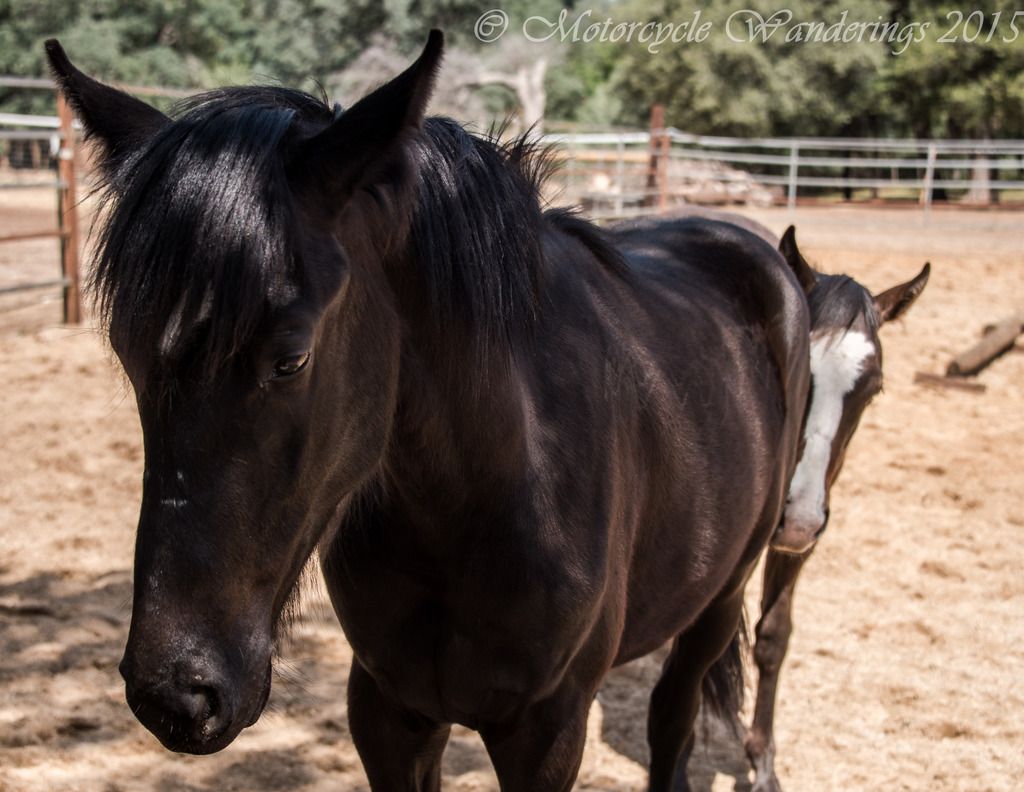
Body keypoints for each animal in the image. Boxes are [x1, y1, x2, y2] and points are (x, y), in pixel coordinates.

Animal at [47, 32, 810, 791]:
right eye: (127, 352)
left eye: (290, 357)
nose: (175, 694)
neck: (495, 488)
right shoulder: (389, 712)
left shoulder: (549, 731)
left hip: (719, 601)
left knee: (674, 719)